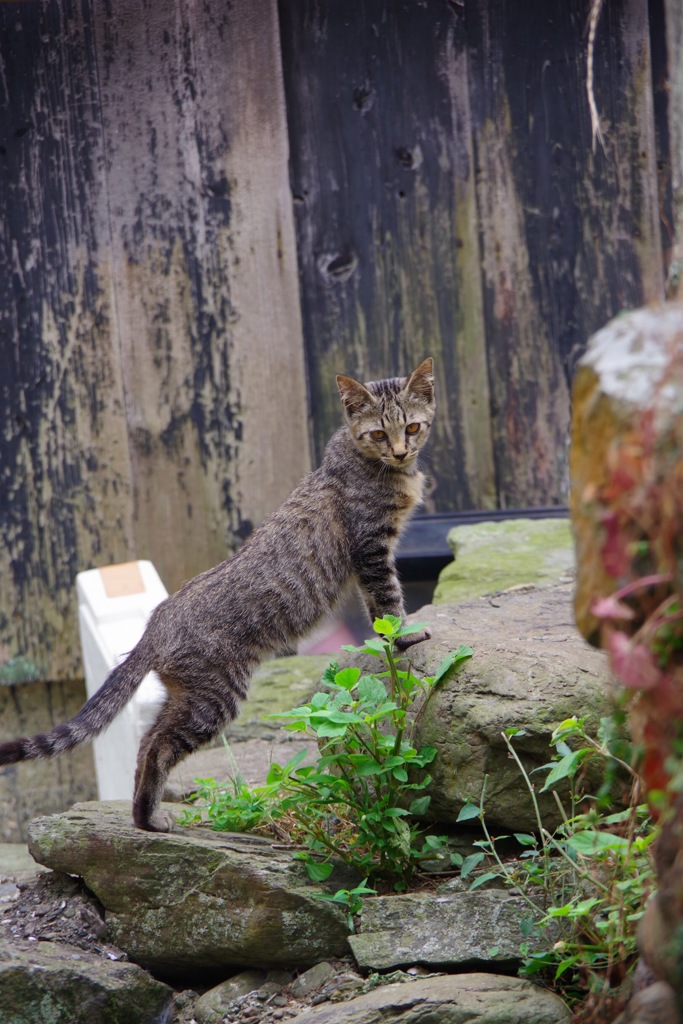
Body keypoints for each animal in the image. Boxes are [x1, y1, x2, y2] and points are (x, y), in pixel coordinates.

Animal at [0, 360, 436, 831]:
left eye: (412, 427)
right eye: (378, 434)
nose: (400, 451)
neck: (370, 463)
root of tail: (156, 623)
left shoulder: (368, 558)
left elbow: (377, 610)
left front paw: (389, 637)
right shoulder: (371, 549)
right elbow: (388, 600)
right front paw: (404, 637)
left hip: (186, 697)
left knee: (146, 742)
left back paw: (142, 816)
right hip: (214, 698)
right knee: (158, 748)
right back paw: (149, 819)